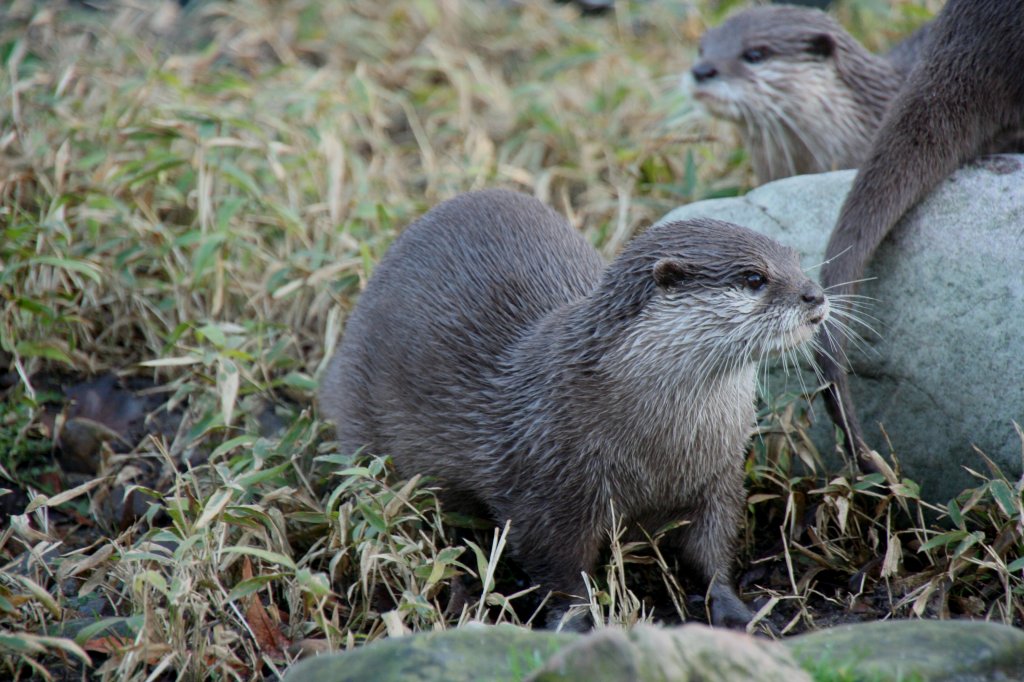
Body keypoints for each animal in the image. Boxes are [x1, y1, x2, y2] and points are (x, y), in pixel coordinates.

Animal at [319, 187, 831, 626]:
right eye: (754, 278)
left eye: (797, 261)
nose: (815, 294)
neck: (660, 449)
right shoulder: (547, 490)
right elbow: (559, 569)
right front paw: (577, 623)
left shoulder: (718, 476)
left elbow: (712, 550)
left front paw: (734, 610)